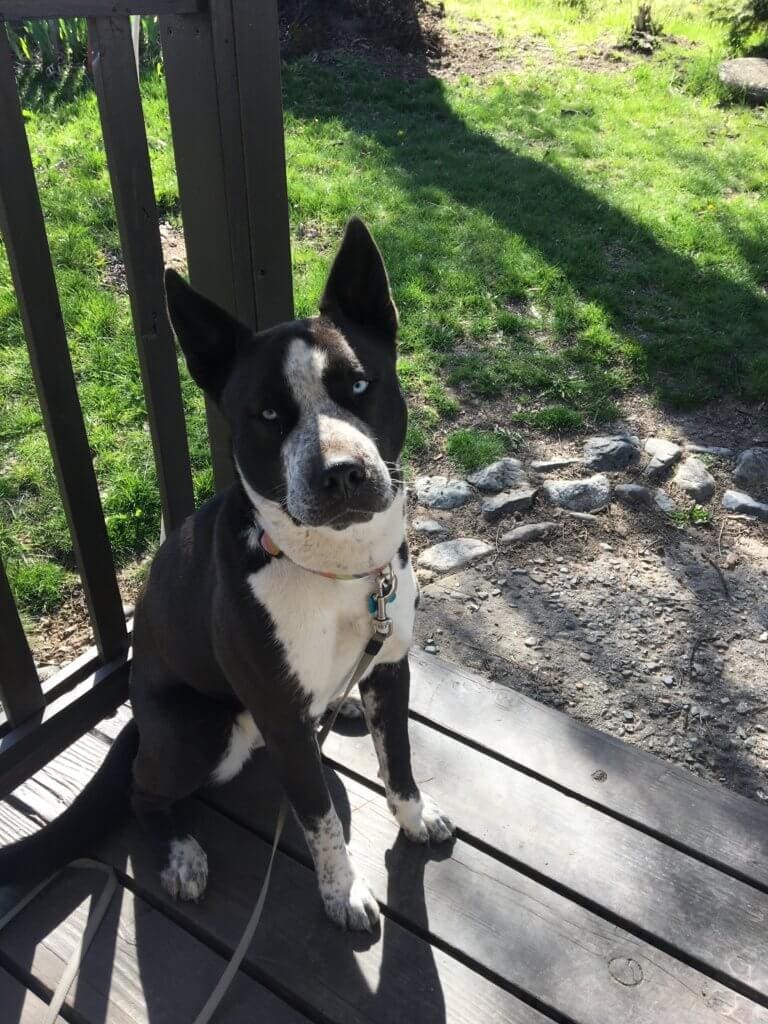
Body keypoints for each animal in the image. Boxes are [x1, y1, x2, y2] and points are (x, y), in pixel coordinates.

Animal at [0, 220, 454, 933]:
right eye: (267, 415)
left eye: (359, 386)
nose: (343, 473)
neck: (336, 571)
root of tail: (138, 719)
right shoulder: (283, 721)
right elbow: (320, 819)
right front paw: (342, 891)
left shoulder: (389, 669)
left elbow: (399, 761)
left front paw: (413, 818)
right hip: (202, 731)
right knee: (142, 792)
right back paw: (182, 853)